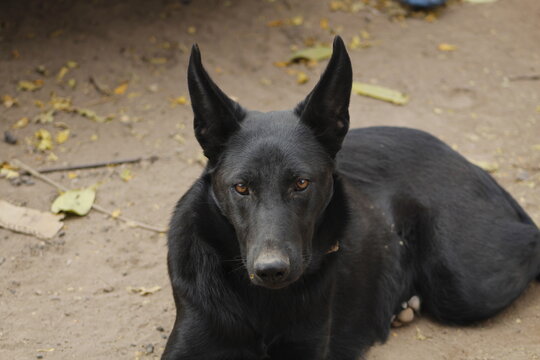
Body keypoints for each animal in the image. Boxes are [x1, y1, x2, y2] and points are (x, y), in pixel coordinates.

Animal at [163, 37, 540, 360]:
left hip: (465, 285)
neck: (262, 302)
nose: (271, 271)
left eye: (301, 184)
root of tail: (465, 160)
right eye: (241, 188)